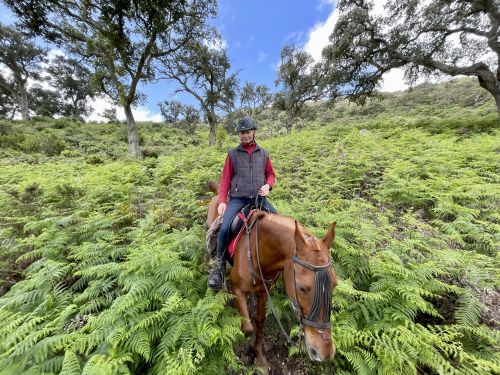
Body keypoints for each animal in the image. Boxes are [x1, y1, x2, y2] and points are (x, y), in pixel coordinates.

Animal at [205, 182, 338, 370]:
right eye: (302, 288)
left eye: (335, 284)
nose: (324, 352)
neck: (258, 251)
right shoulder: (238, 289)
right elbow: (248, 327)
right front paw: (245, 348)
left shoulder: (263, 291)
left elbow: (259, 322)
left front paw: (259, 356)